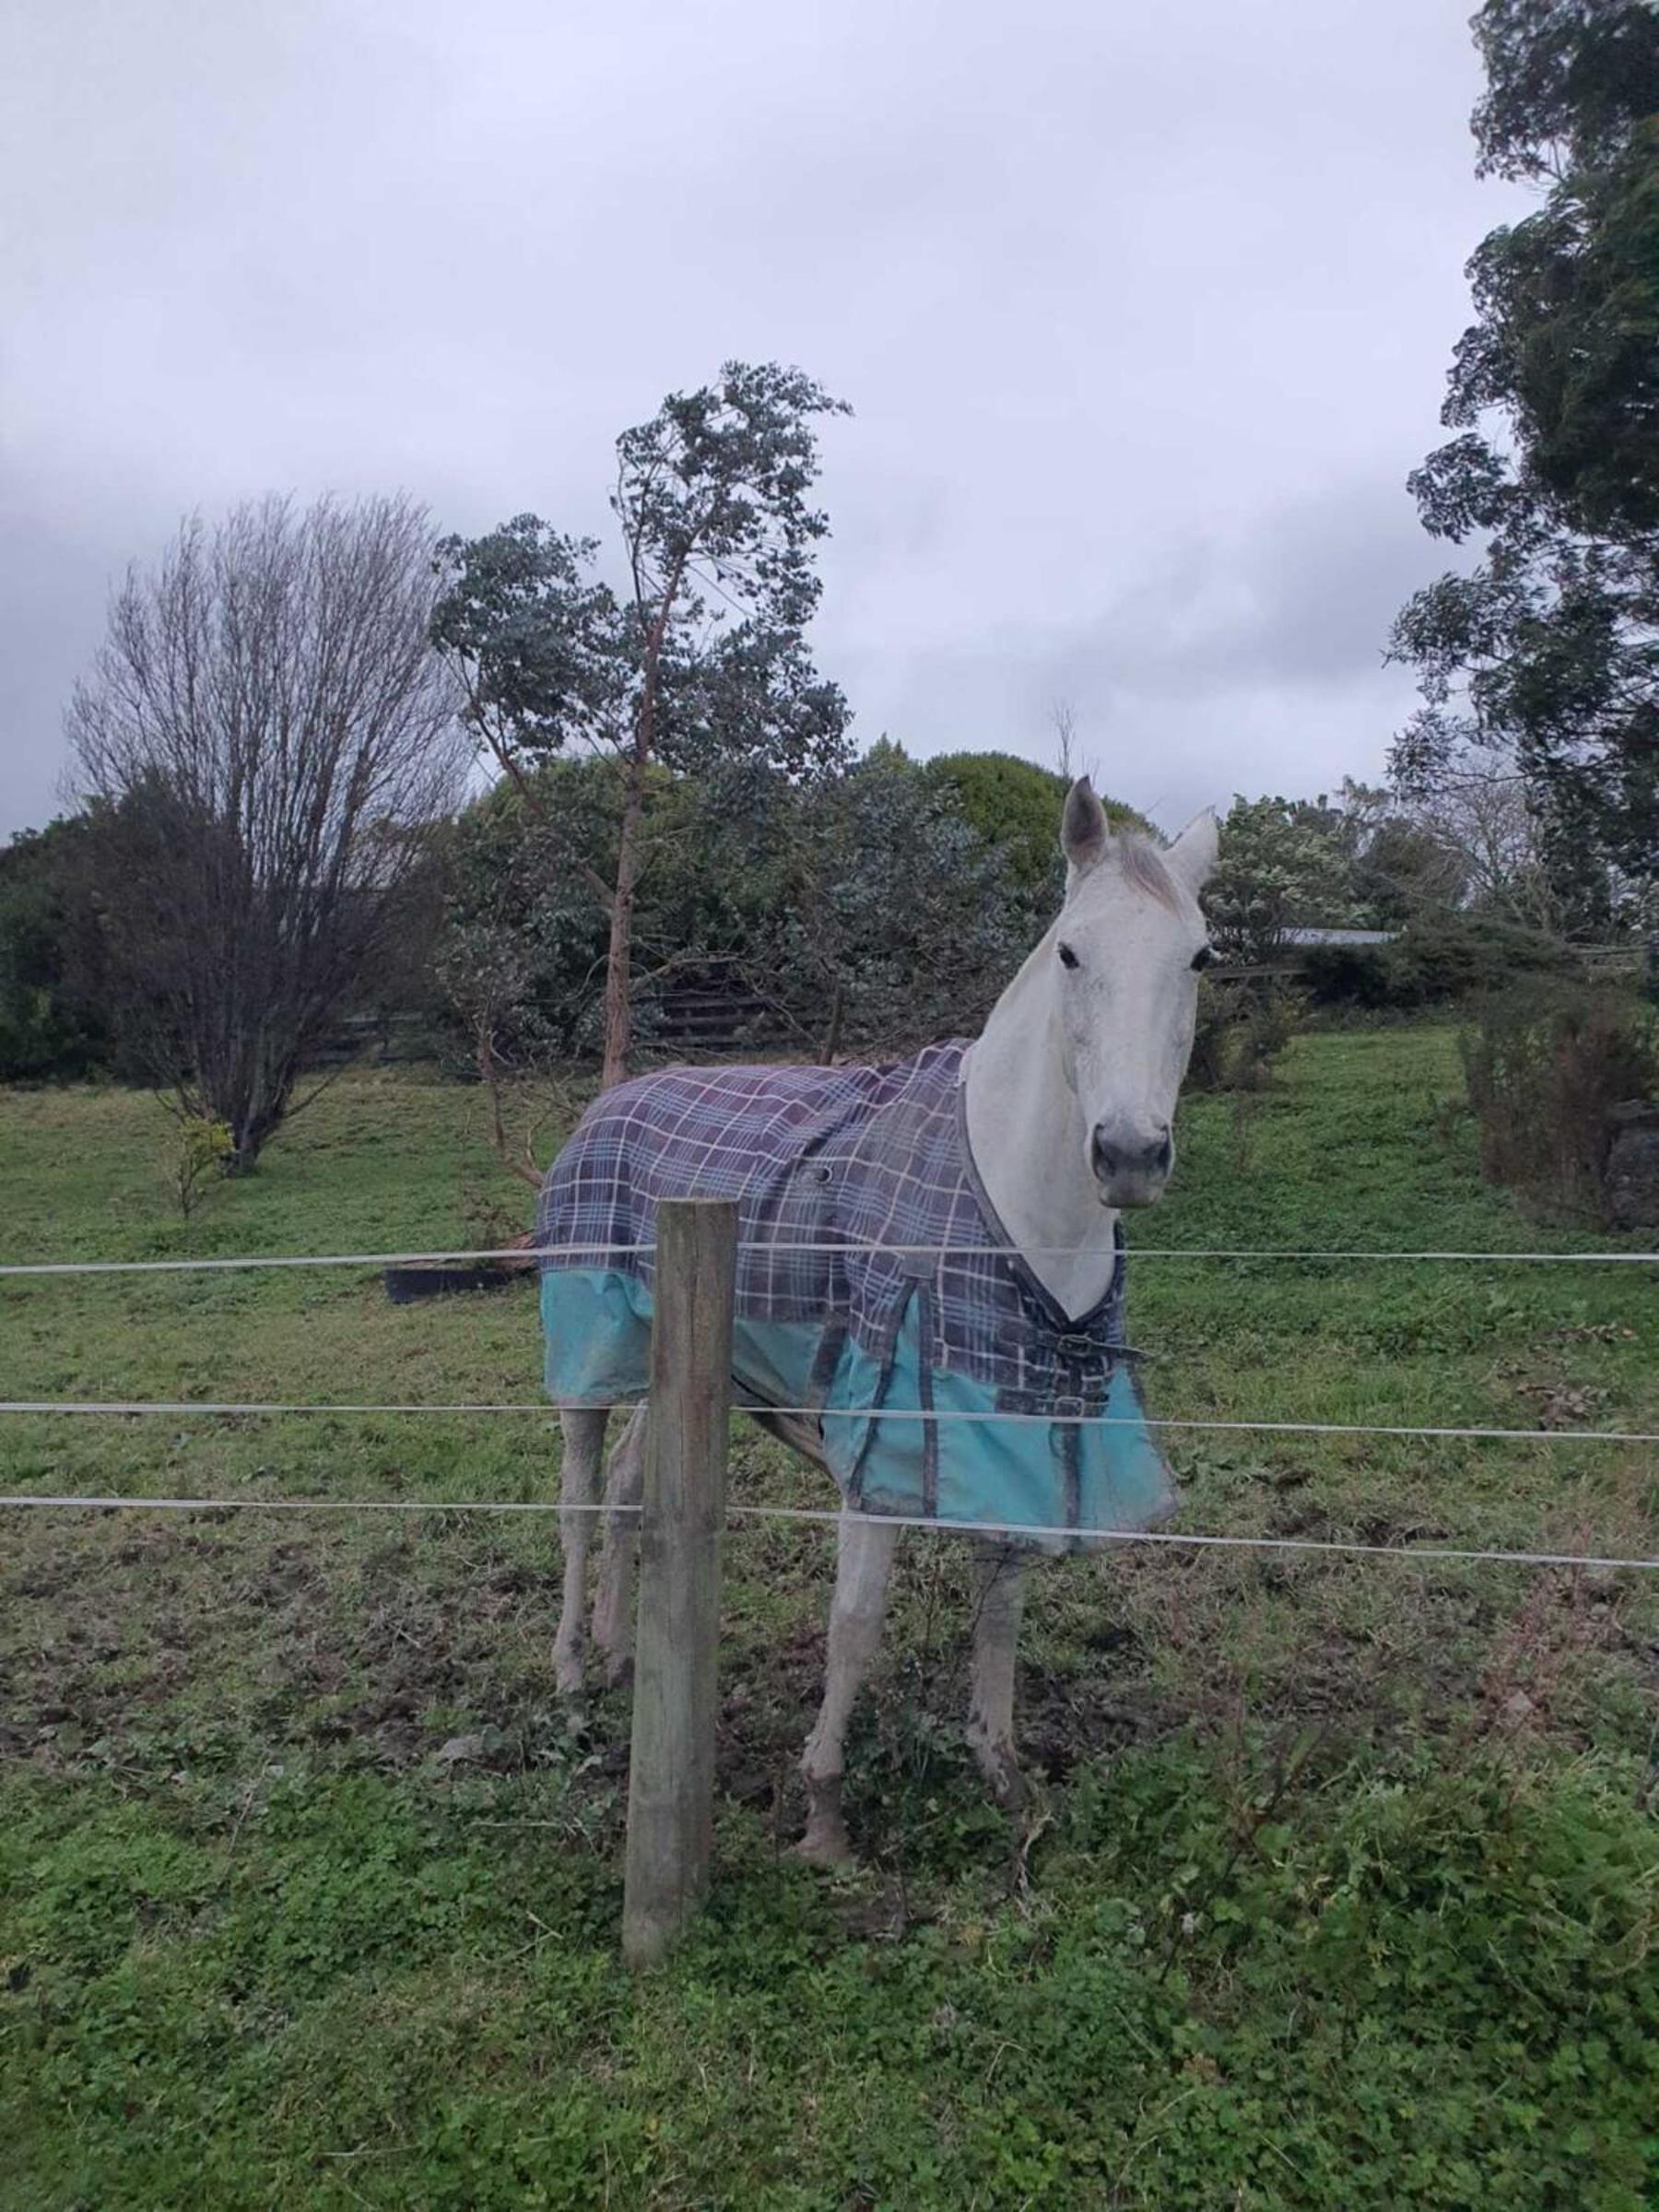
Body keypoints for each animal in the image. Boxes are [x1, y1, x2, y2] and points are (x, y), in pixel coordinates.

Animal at [537, 776, 1218, 1865]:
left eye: (1198, 957)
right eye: (1071, 952)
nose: (1127, 1154)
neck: (1016, 1208)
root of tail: (614, 1100)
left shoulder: (1022, 1417)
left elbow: (1000, 1607)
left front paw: (1003, 1773)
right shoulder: (885, 1439)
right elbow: (854, 1623)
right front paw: (822, 1813)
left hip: (665, 1355)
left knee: (637, 1492)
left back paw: (617, 1651)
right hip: (587, 1359)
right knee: (576, 1499)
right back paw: (568, 1672)